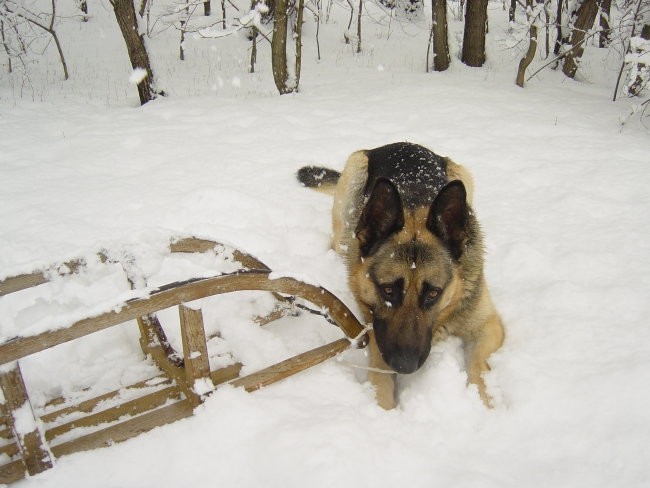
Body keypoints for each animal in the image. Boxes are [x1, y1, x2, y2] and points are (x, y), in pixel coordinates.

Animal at [296, 143, 504, 410]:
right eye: (387, 290)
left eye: (433, 293)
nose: (404, 366)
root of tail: (402, 144)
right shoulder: (377, 337)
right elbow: (380, 385)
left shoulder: (489, 325)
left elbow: (478, 367)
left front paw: (483, 402)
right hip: (354, 173)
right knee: (338, 241)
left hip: (463, 178)